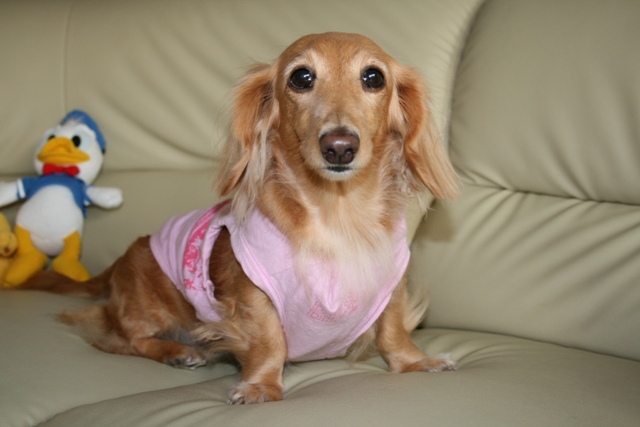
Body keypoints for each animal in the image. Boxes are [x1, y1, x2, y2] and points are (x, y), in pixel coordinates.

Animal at [20, 32, 459, 404]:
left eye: (373, 77)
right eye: (301, 77)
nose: (339, 147)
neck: (337, 215)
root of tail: (118, 261)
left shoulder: (390, 283)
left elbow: (392, 329)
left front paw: (414, 361)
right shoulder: (254, 293)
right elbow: (269, 341)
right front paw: (262, 384)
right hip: (146, 309)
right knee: (117, 339)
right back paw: (177, 350)